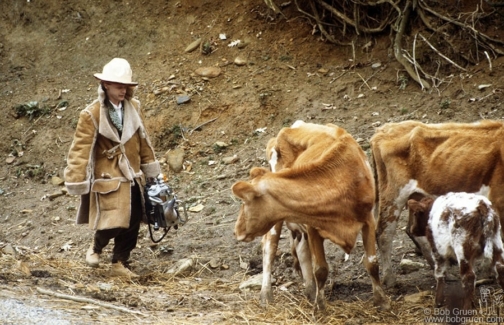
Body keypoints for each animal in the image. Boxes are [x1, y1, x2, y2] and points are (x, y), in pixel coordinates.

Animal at [232, 119, 390, 308]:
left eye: (244, 202)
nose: (237, 230)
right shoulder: (312, 225)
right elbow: (321, 269)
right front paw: (319, 307)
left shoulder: (368, 220)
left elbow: (372, 263)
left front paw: (382, 301)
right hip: (278, 220)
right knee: (270, 247)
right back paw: (266, 295)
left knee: (301, 249)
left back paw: (310, 290)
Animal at [368, 119, 504, 286]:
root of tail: (383, 130)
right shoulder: (499, 199)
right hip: (393, 193)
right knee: (384, 233)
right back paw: (390, 279)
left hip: (416, 195)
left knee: (412, 229)